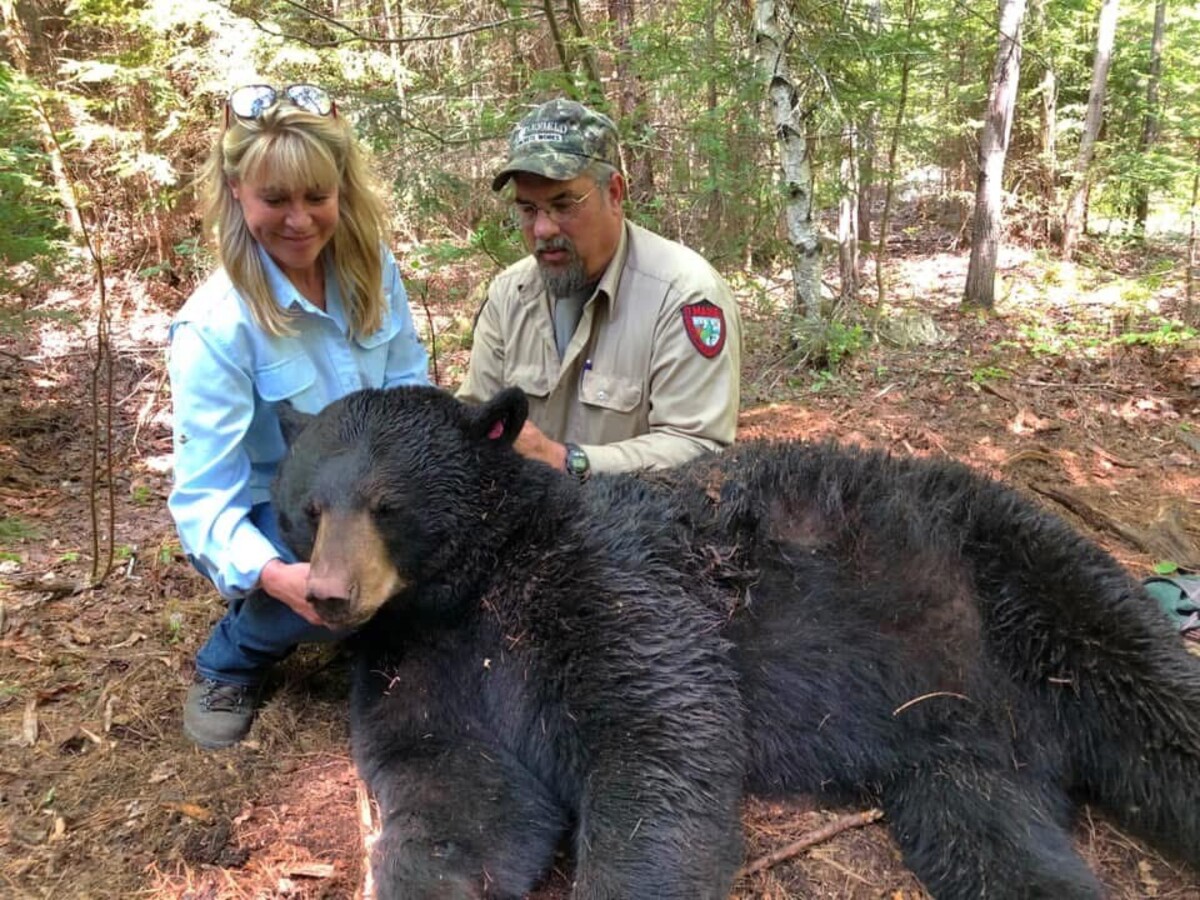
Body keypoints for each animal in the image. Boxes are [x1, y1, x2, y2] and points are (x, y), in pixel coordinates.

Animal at [272, 384, 1200, 900]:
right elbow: (457, 794)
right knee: (1000, 848)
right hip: (957, 767)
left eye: (387, 503)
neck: (476, 586)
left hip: (1031, 589)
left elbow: (659, 737)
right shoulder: (423, 660)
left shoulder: (608, 579)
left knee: (1160, 714)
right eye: (308, 507)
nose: (329, 596)